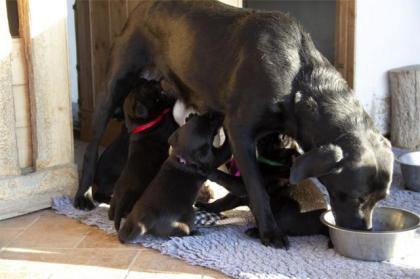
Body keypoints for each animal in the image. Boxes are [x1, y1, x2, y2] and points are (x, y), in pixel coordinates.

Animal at [108, 79, 177, 230]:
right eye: (147, 89)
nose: (155, 80)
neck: (142, 124)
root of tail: (120, 200)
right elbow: (168, 111)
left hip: (114, 202)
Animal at [118, 114, 230, 243]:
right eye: (211, 124)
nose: (220, 114)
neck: (182, 157)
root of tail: (145, 222)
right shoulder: (214, 159)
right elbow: (225, 151)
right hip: (188, 216)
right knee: (181, 233)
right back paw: (194, 233)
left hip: (132, 217)